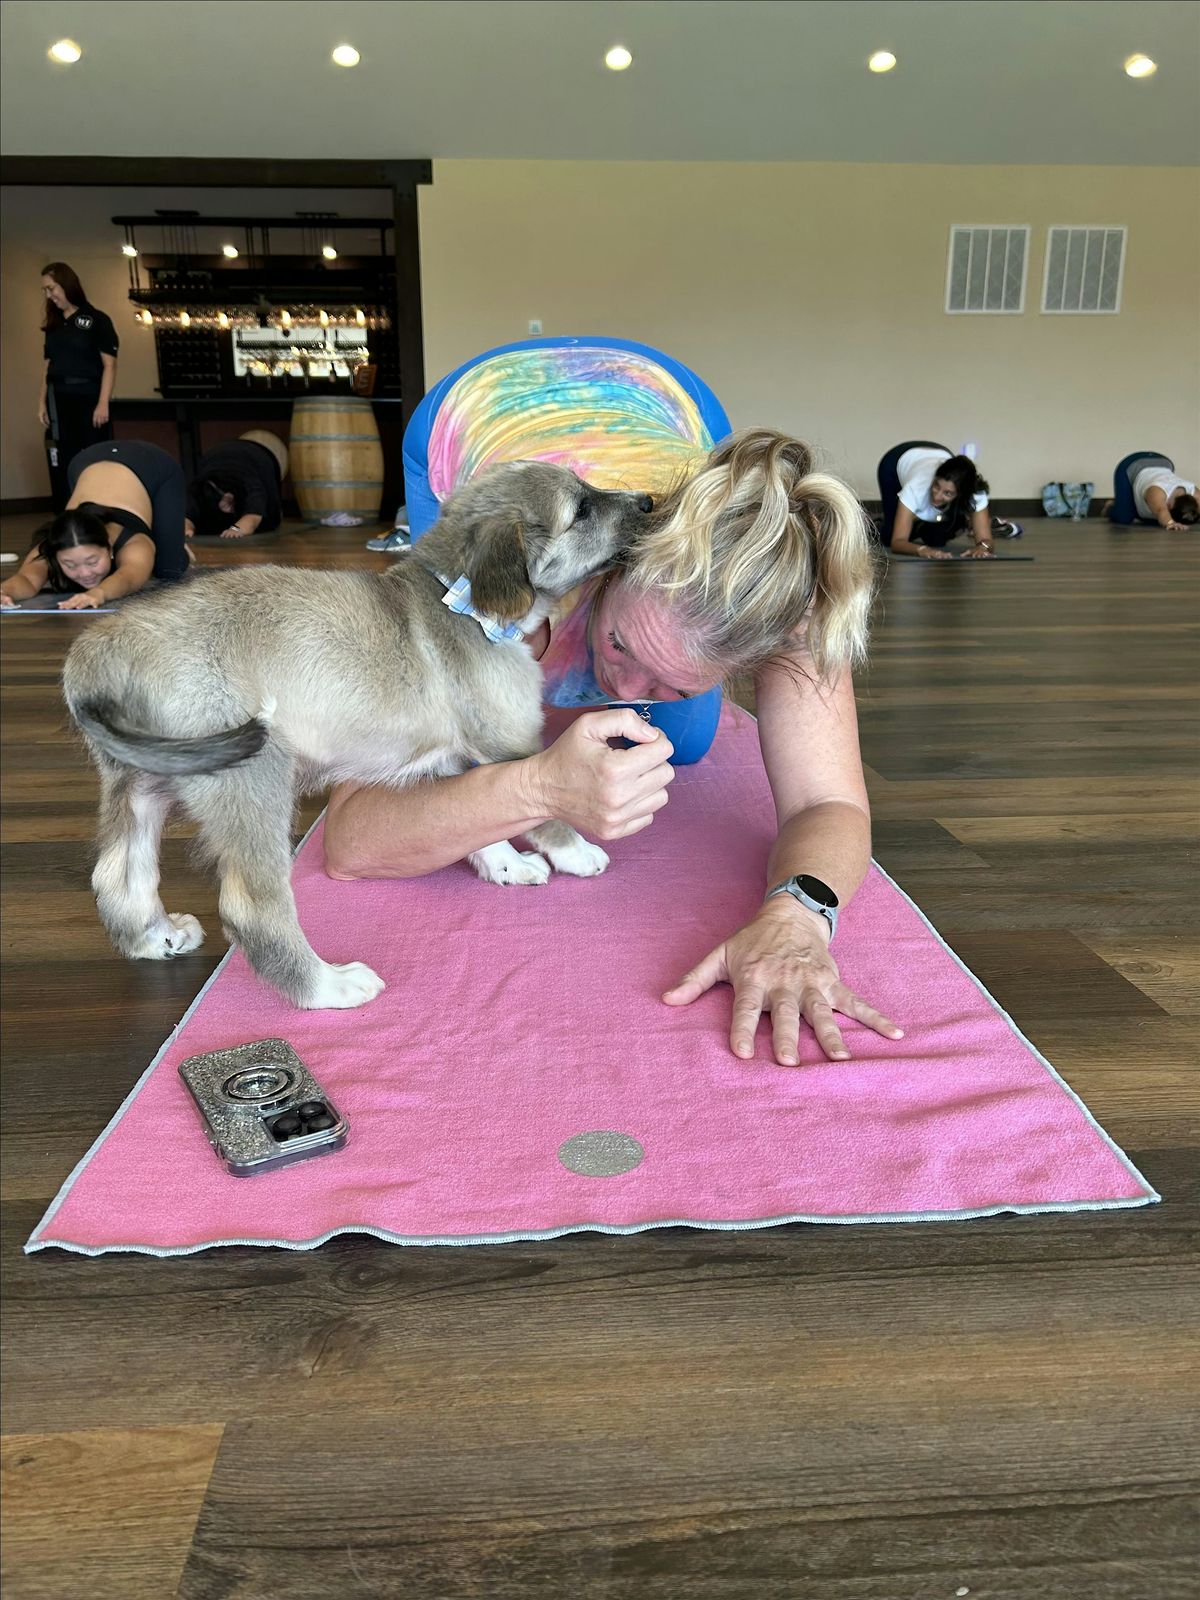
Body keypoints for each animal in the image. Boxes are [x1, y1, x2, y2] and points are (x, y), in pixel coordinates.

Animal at [61, 464, 652, 1004]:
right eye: (582, 509)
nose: (648, 500)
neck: (461, 601)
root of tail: (98, 650)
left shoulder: (457, 757)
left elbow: (485, 823)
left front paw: (506, 865)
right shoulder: (508, 747)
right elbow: (545, 810)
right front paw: (576, 853)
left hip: (143, 782)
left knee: (117, 876)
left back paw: (153, 938)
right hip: (252, 779)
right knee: (251, 906)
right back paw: (325, 986)